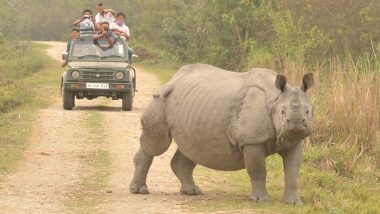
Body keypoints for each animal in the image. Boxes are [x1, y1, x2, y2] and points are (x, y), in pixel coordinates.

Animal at [129, 63, 314, 204]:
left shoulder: (294, 141)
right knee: (157, 145)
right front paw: (261, 201)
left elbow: (293, 172)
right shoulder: (252, 141)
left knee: (191, 148)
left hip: (191, 106)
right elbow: (258, 170)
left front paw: (294, 203)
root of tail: (173, 78)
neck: (275, 98)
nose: (297, 124)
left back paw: (193, 192)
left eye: (308, 111)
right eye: (282, 112)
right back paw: (139, 191)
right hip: (160, 98)